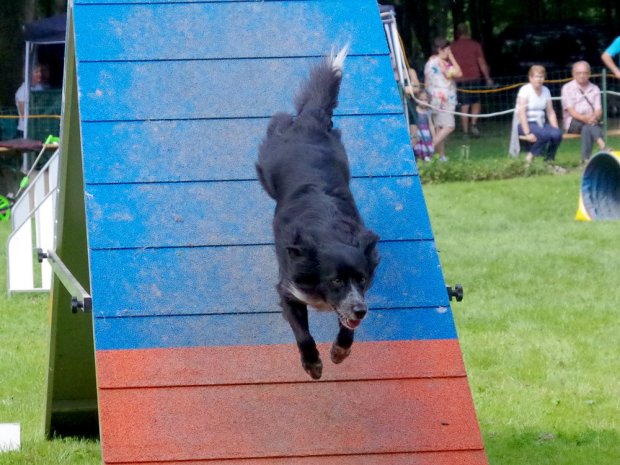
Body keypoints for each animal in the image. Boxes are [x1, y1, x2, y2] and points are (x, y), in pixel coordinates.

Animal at [256, 49, 378, 378]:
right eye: (335, 281)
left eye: (362, 278)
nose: (362, 310)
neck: (328, 235)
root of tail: (311, 120)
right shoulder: (288, 288)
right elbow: (303, 333)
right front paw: (312, 363)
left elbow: (347, 325)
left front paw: (340, 350)